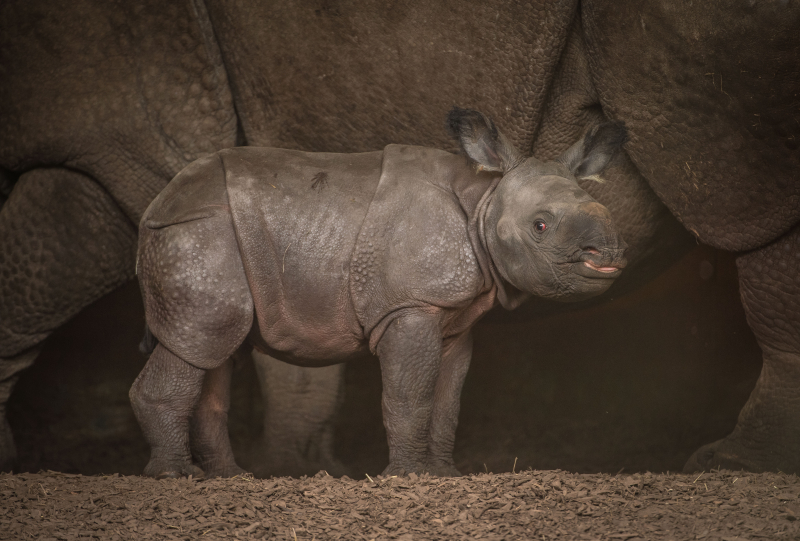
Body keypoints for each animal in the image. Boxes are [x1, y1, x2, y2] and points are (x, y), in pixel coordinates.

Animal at [131, 108, 627, 478]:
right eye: (540, 226)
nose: (608, 255)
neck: (485, 199)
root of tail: (155, 205)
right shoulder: (410, 305)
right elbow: (410, 393)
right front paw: (407, 476)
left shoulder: (453, 316)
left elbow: (447, 400)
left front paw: (445, 475)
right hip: (197, 233)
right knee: (201, 338)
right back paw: (177, 477)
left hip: (206, 233)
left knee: (214, 352)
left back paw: (230, 477)